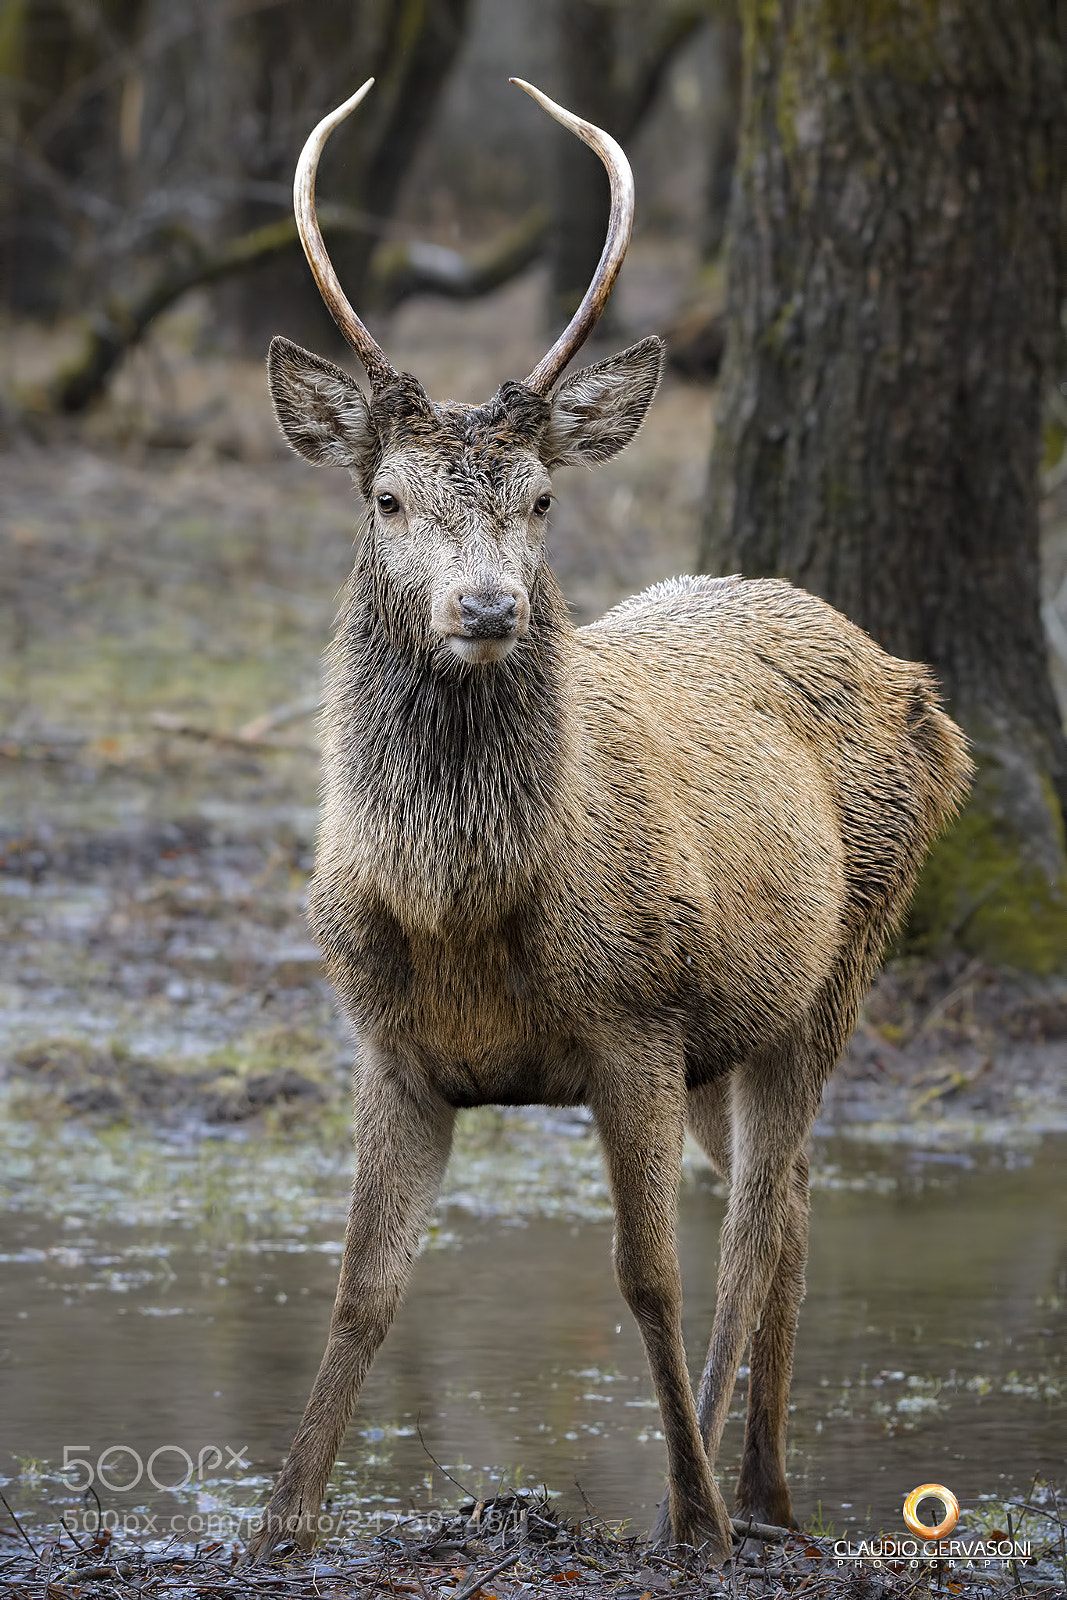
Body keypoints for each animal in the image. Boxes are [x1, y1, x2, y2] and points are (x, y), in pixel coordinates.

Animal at [247, 77, 973, 1565]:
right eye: (388, 495)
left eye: (539, 498)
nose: (485, 608)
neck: (468, 911)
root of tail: (920, 692)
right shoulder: (388, 1046)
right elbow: (359, 1288)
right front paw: (280, 1519)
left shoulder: (636, 1019)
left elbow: (647, 1278)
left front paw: (684, 1513)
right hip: (734, 1036)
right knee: (793, 1209)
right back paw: (769, 1487)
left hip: (833, 969)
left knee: (754, 1226)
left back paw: (719, 1499)